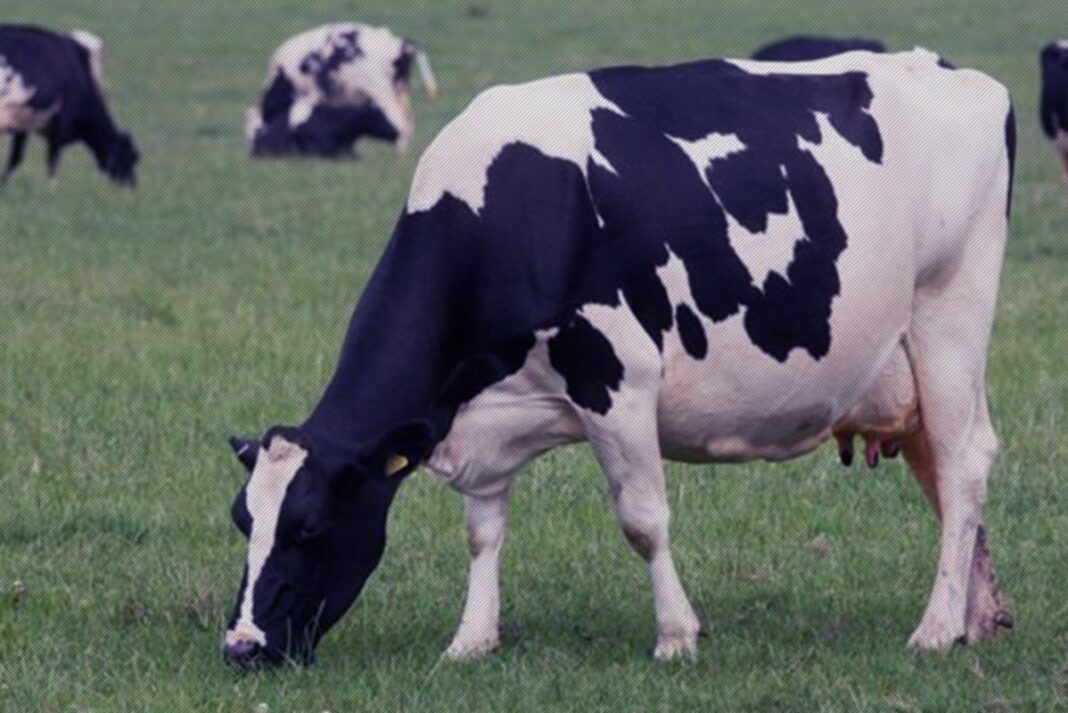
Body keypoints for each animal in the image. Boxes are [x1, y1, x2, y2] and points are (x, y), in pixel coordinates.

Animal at [0, 25, 137, 186]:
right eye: (131, 157)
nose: (133, 186)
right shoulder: (60, 125)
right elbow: (53, 163)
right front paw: (52, 190)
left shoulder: (24, 124)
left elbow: (14, 160)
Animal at [222, 48, 1016, 669]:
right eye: (240, 519)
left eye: (308, 527)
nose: (241, 646)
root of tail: (956, 72)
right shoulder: (484, 413)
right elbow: (483, 529)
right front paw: (471, 639)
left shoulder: (618, 379)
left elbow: (642, 519)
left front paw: (676, 636)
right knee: (943, 476)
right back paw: (975, 618)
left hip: (949, 314)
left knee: (963, 463)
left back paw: (934, 629)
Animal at [246, 23, 438, 158]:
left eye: (255, 134)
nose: (254, 151)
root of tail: (398, 44)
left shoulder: (311, 95)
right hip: (400, 90)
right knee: (407, 122)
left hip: (382, 91)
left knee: (399, 122)